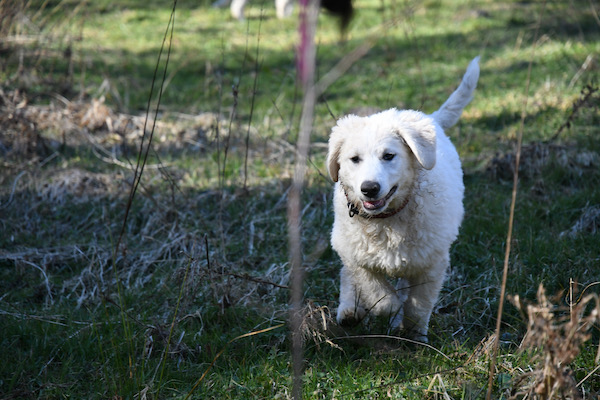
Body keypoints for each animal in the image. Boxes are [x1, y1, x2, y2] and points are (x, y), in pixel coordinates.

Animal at [326, 57, 480, 342]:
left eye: (389, 156)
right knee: (347, 273)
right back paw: (350, 310)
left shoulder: (431, 262)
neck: (386, 220)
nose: (369, 189)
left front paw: (413, 332)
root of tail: (429, 119)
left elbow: (418, 303)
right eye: (354, 159)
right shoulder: (357, 255)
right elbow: (376, 291)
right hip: (344, 239)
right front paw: (388, 307)